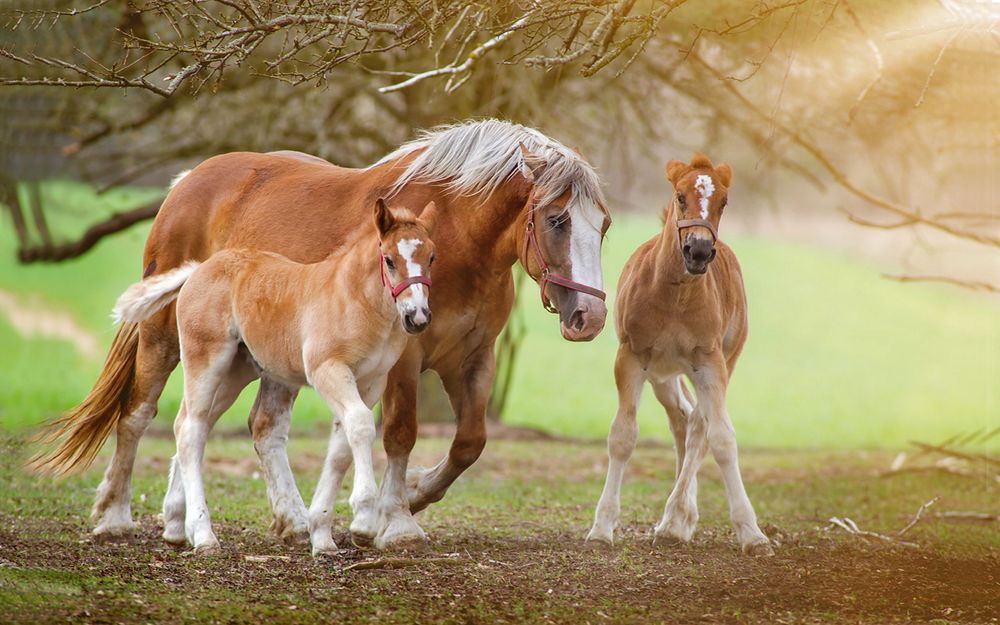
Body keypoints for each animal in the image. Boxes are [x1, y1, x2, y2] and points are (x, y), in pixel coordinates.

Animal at [110, 197, 438, 552]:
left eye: (431, 257)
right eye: (389, 260)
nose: (418, 317)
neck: (354, 298)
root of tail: (199, 268)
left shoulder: (371, 381)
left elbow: (341, 447)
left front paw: (322, 534)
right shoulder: (327, 370)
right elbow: (362, 425)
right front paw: (363, 518)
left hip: (236, 370)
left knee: (194, 423)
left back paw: (174, 525)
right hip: (206, 360)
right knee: (190, 429)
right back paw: (203, 534)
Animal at [584, 154, 772, 552]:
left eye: (724, 202)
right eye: (680, 196)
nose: (698, 251)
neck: (675, 295)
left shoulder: (710, 363)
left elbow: (722, 439)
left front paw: (751, 532)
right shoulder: (631, 358)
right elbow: (622, 436)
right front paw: (602, 529)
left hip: (725, 359)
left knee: (699, 426)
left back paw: (676, 519)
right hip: (662, 374)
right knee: (682, 420)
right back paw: (676, 519)